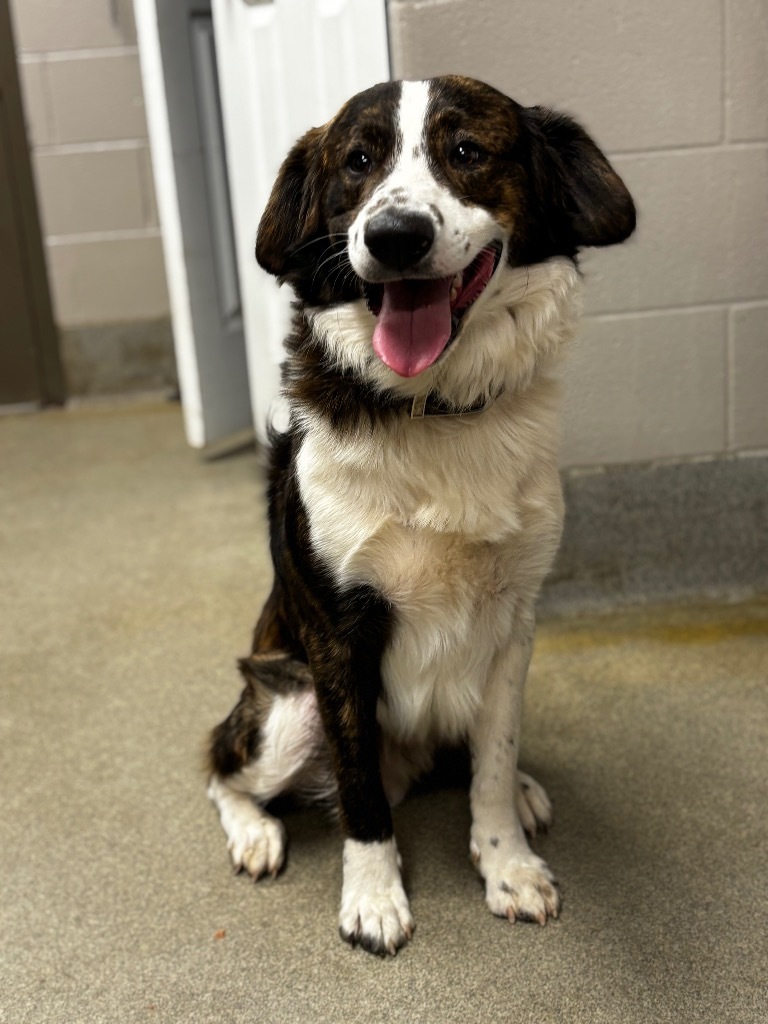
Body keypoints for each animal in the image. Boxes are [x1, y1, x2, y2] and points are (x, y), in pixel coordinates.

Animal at [205, 75, 638, 954]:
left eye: (466, 150)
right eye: (357, 163)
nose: (394, 236)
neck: (434, 407)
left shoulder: (514, 621)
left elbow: (494, 761)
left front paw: (507, 861)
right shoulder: (337, 637)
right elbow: (358, 790)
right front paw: (373, 896)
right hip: (287, 703)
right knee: (220, 764)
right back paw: (256, 833)